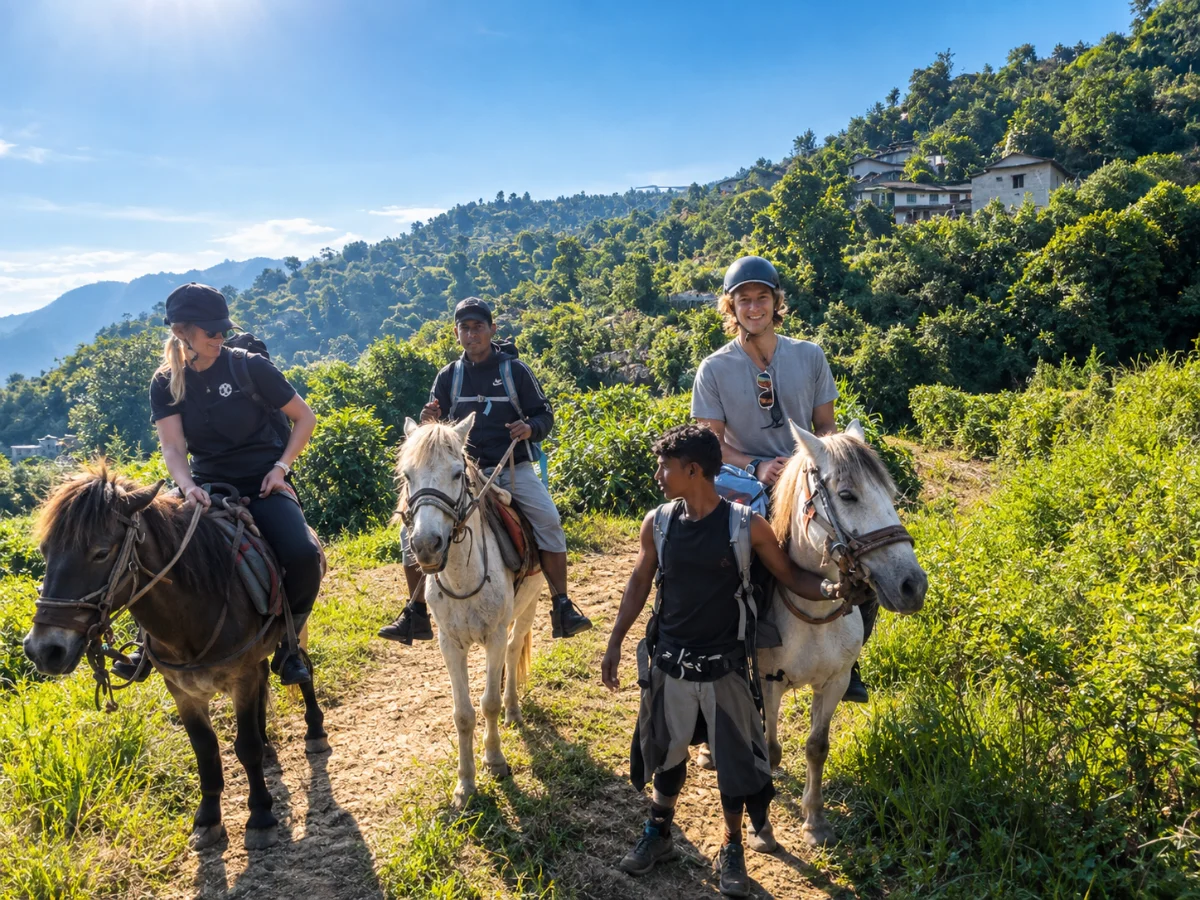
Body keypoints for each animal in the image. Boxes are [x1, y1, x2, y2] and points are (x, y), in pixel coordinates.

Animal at [22, 465, 329, 852]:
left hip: (295, 631)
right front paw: (209, 817)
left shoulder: (240, 678)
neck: (193, 613)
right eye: (45, 551)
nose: (43, 650)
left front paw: (260, 815)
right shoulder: (181, 690)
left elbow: (245, 747)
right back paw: (268, 743)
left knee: (304, 671)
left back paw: (314, 730)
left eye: (101, 553)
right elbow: (205, 749)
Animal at [396, 414, 543, 808]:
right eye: (407, 475)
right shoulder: (450, 644)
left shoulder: (493, 636)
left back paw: (513, 710)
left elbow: (489, 702)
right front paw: (465, 785)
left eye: (457, 473)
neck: (463, 577)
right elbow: (463, 714)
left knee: (514, 649)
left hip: (529, 607)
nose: (426, 545)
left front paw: (495, 761)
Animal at [747, 420, 927, 848]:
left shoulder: (834, 682)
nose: (913, 585)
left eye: (890, 494)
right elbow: (770, 746)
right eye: (847, 495)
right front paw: (763, 824)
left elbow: (816, 747)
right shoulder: (768, 682)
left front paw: (815, 821)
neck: (812, 614)